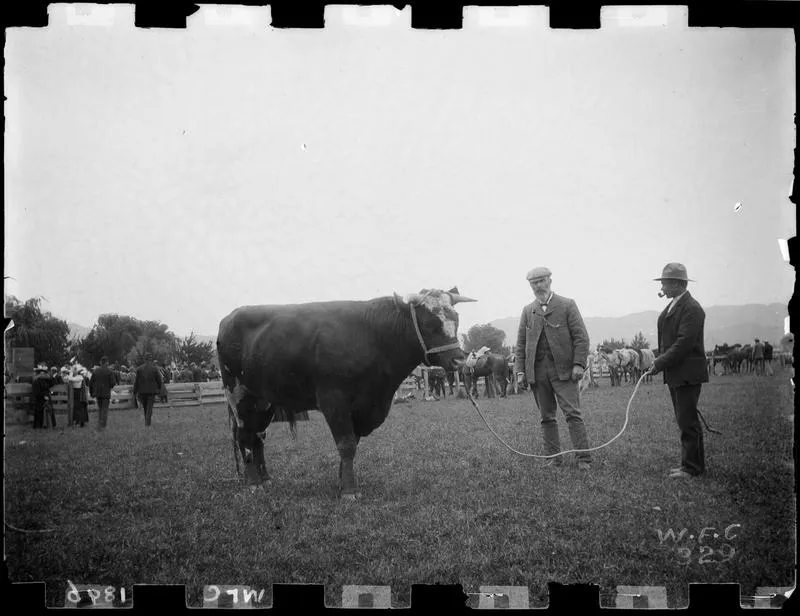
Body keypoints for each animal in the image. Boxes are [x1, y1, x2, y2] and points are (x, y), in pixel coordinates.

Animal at [216, 287, 475, 499]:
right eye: (430, 324)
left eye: (456, 320)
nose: (458, 360)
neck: (374, 336)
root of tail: (229, 319)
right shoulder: (334, 399)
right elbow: (346, 444)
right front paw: (350, 491)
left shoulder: (361, 407)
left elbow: (352, 444)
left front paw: (342, 483)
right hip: (239, 395)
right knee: (244, 438)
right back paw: (253, 484)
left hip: (263, 401)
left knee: (258, 437)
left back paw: (266, 480)